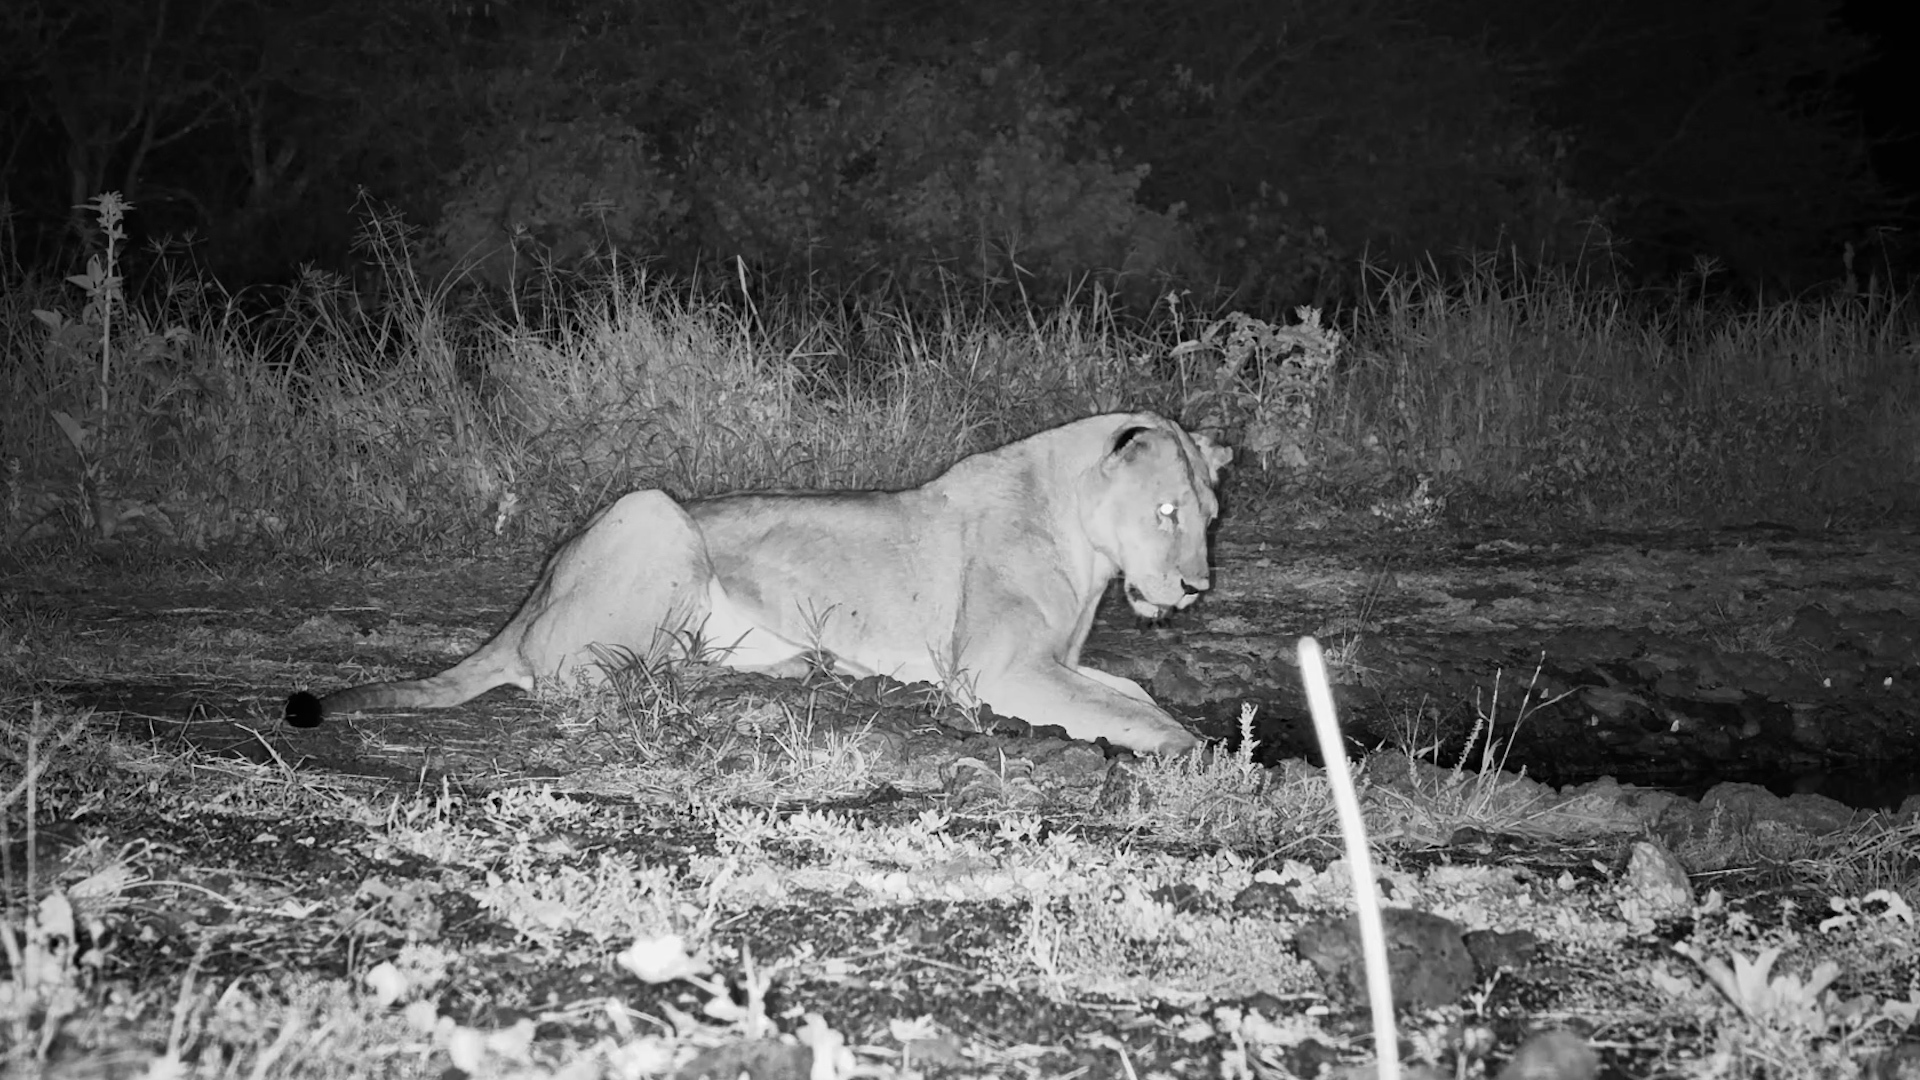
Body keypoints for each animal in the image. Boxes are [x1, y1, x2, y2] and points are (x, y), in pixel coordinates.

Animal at [284, 411, 1230, 754]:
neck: (1090, 546)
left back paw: (806, 669)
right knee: (574, 677)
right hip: (653, 509)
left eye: (1211, 515)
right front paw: (1207, 754)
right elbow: (1134, 714)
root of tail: (530, 599)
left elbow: (1131, 690)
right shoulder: (999, 671)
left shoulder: (1054, 662)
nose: (1194, 589)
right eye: (1167, 512)